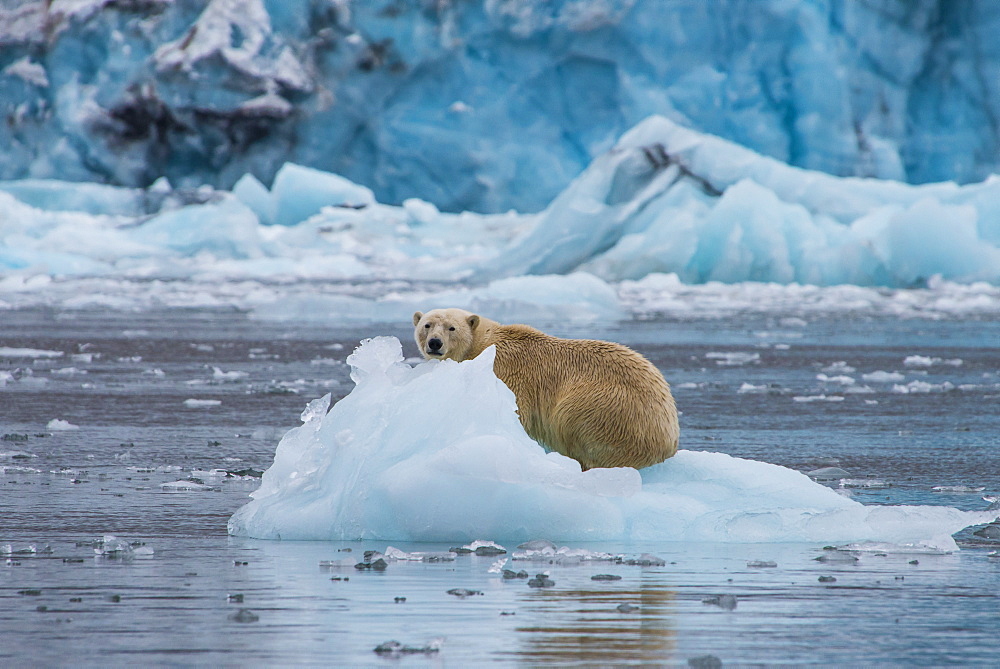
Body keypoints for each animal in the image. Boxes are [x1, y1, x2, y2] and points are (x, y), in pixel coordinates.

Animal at [414, 310, 680, 470]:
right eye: (427, 325)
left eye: (451, 328)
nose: (435, 343)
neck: (485, 344)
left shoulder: (508, 371)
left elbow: (517, 411)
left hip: (606, 408)